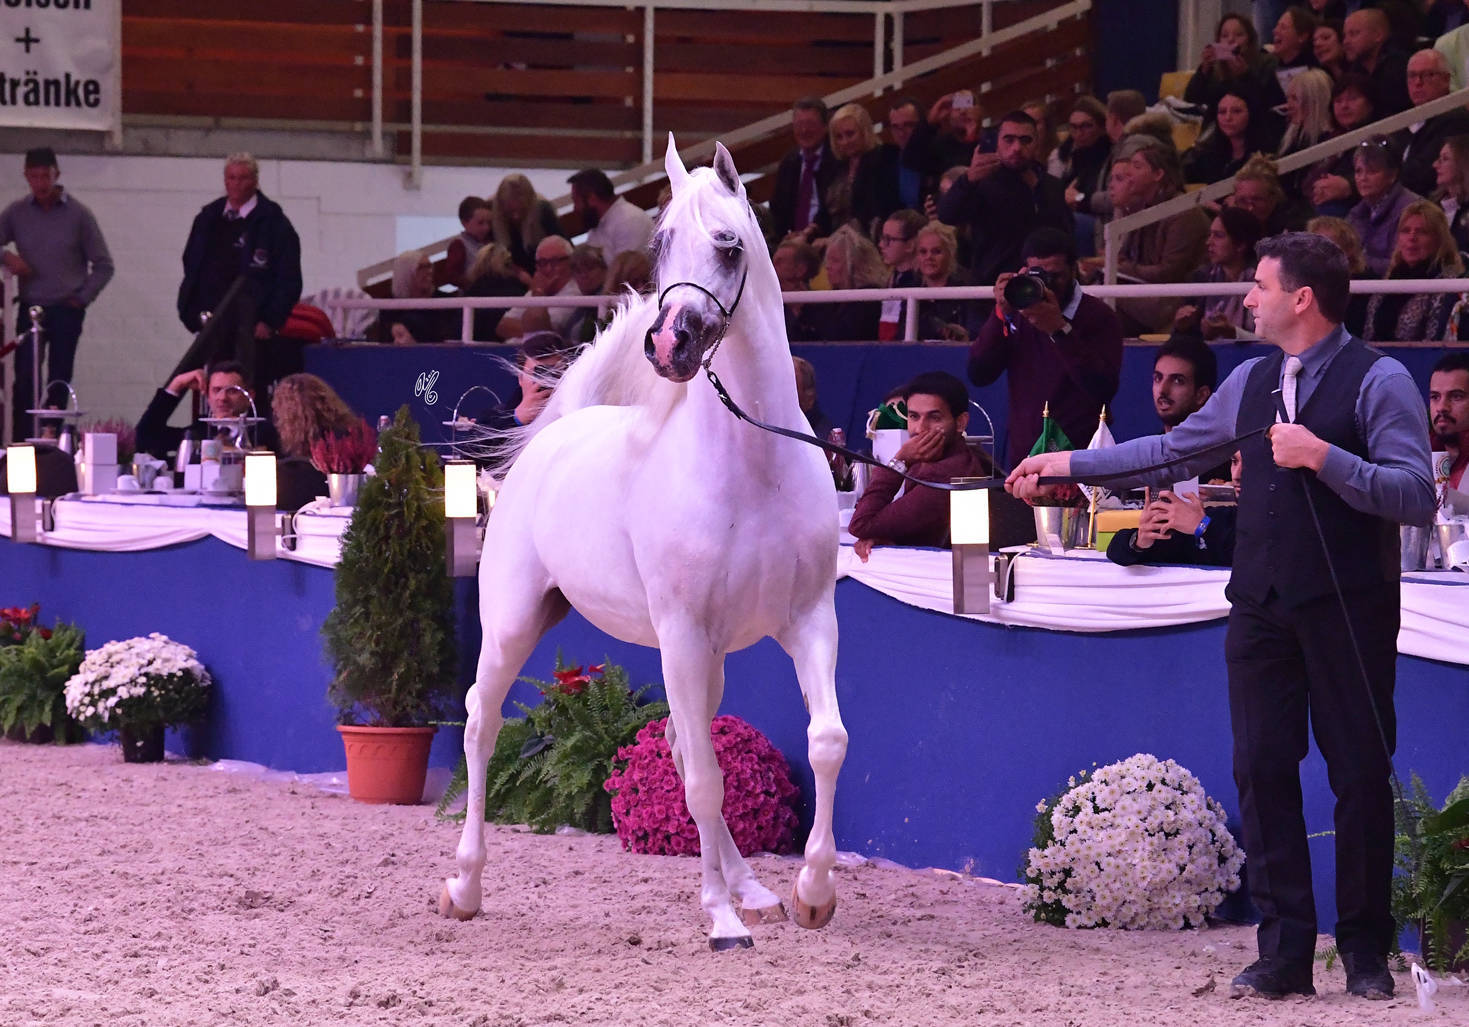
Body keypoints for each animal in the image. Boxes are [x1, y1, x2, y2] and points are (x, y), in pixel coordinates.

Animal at [438, 137, 848, 950]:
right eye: (660, 244)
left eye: (728, 246)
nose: (668, 343)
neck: (752, 465)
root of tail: (555, 435)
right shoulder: (682, 633)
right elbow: (704, 781)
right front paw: (719, 918)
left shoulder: (808, 620)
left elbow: (823, 741)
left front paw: (811, 893)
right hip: (514, 624)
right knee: (480, 722)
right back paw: (464, 885)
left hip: (707, 654)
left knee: (685, 743)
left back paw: (754, 888)